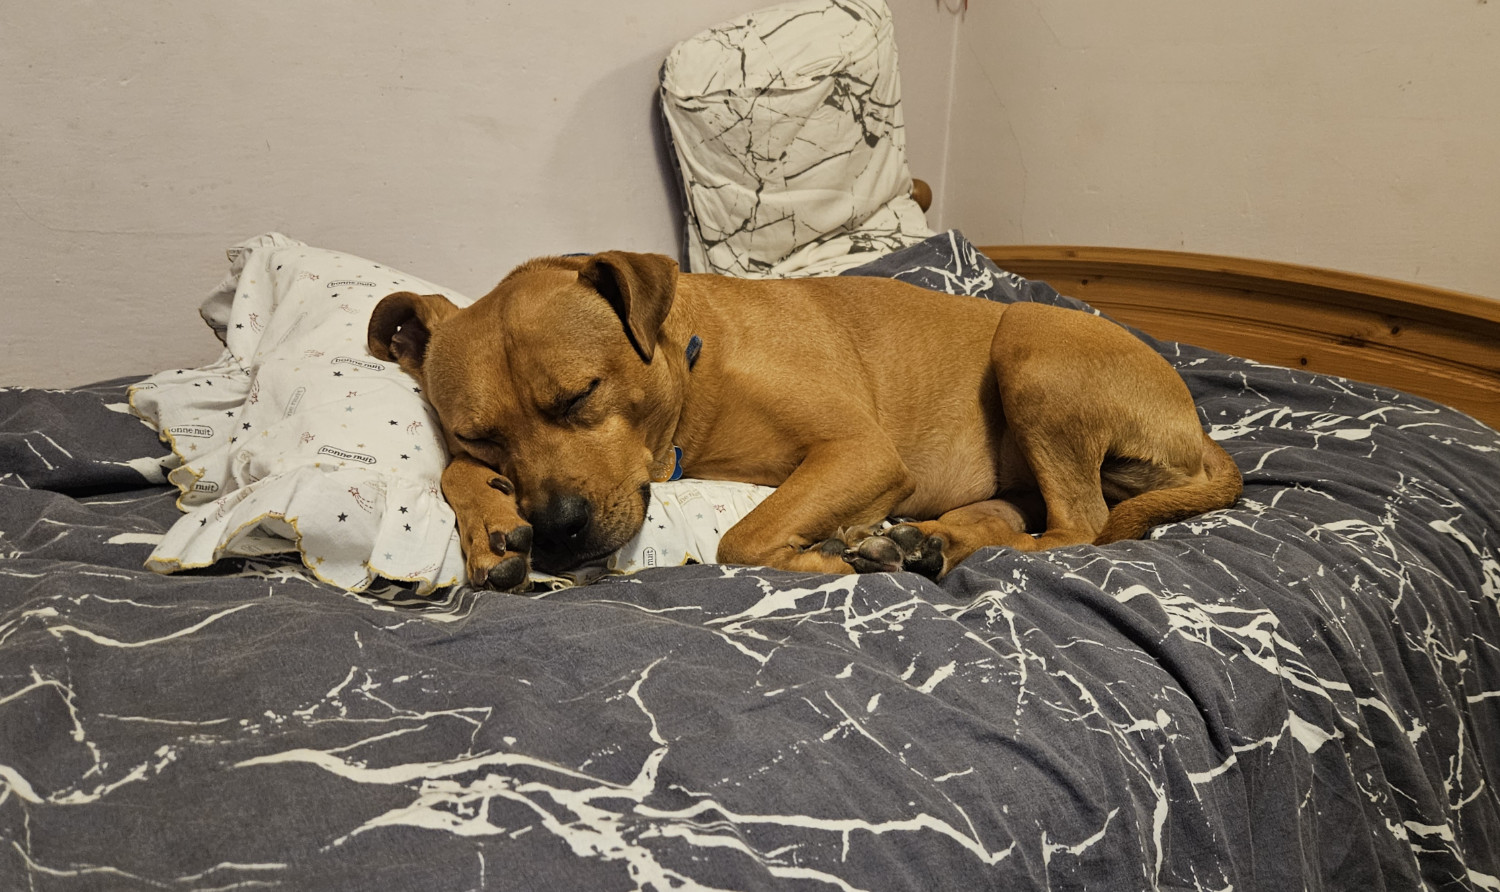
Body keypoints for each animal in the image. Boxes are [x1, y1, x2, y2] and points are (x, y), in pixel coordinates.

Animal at [366, 248, 1242, 593]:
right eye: (480, 434)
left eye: (581, 395)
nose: (553, 529)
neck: (695, 372)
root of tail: (1200, 430)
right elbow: (451, 471)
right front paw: (489, 527)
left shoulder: (860, 453)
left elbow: (743, 538)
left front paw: (820, 560)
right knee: (1012, 520)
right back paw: (918, 544)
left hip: (1031, 344)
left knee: (1080, 529)